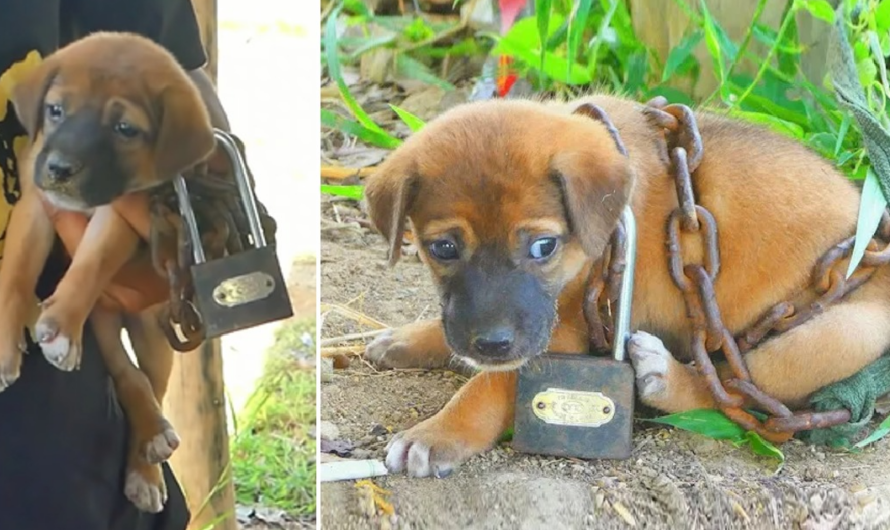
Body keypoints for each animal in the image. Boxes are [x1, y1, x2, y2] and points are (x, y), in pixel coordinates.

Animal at [5, 32, 215, 508]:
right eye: (55, 110)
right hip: (104, 321)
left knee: (149, 385)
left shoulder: (120, 213)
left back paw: (149, 457)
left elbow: (92, 262)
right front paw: (6, 345)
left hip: (156, 330)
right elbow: (15, 274)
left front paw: (62, 322)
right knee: (125, 375)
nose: (59, 170)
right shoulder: (35, 200)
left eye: (125, 130)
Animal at [360, 93, 888, 476]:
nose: (491, 345)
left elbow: (488, 387)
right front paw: (410, 338)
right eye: (443, 248)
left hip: (839, 336)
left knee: (738, 390)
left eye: (543, 246)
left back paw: (665, 375)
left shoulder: (562, 334)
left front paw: (438, 433)